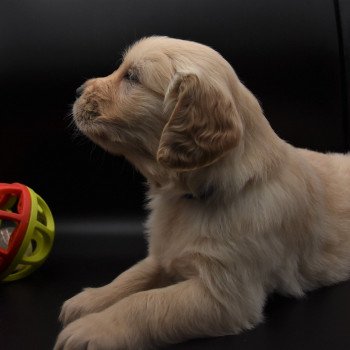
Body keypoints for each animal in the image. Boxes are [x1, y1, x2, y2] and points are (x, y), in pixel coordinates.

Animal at [54, 37, 350, 348]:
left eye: (132, 77)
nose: (78, 90)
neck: (191, 197)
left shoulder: (224, 294)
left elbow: (146, 302)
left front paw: (93, 328)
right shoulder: (163, 254)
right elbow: (133, 275)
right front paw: (91, 299)